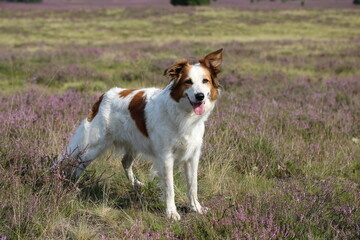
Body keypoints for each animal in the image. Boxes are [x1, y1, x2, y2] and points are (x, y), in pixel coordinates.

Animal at [63, 47, 224, 220]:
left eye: (205, 81)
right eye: (188, 81)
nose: (200, 96)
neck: (183, 114)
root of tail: (104, 95)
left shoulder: (192, 155)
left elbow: (193, 185)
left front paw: (196, 208)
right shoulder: (166, 157)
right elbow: (170, 188)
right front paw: (171, 212)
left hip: (134, 143)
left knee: (125, 162)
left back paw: (136, 184)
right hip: (96, 145)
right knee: (80, 161)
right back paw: (73, 185)